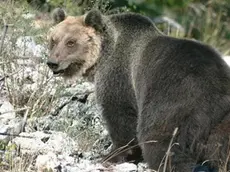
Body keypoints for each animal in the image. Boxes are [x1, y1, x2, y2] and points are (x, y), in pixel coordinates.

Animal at [45, 8, 230, 172]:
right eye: (53, 40)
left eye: (71, 42)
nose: (52, 62)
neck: (102, 54)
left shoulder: (119, 76)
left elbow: (120, 117)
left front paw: (110, 155)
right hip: (221, 119)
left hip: (173, 98)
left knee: (160, 138)